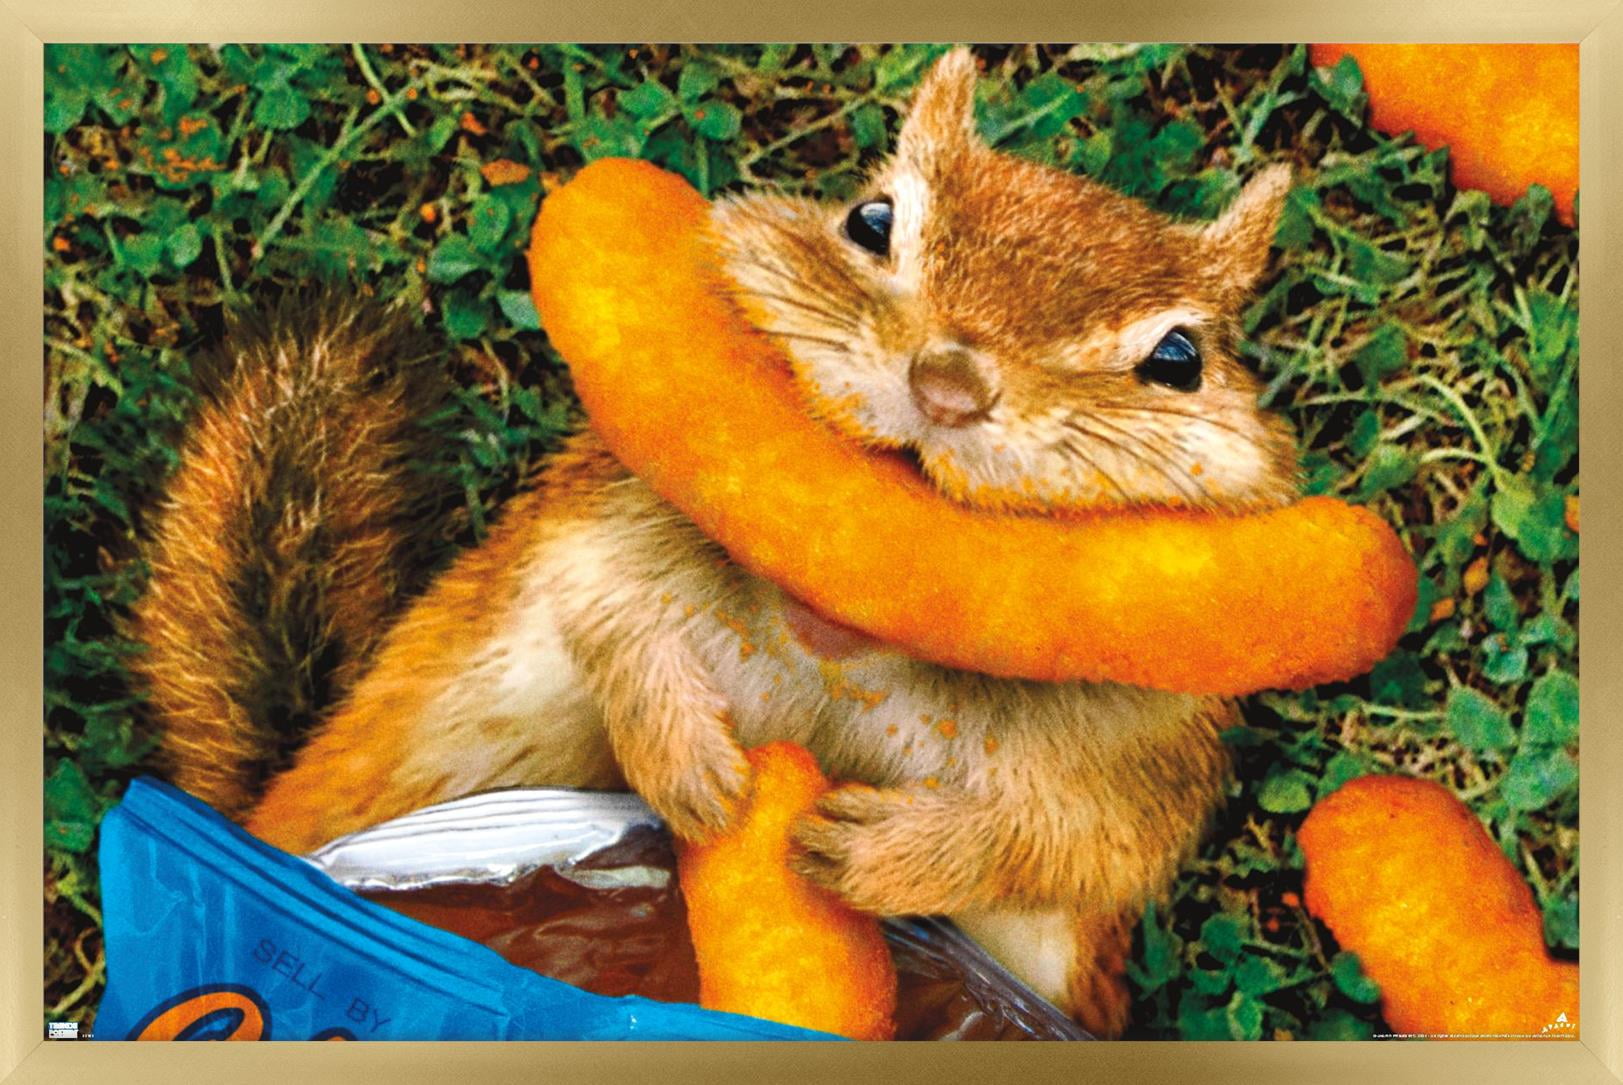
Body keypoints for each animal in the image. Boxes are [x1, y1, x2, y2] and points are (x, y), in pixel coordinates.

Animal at [125, 48, 1298, 1038]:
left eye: (1181, 358)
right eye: (870, 218)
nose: (949, 383)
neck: (835, 643)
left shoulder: (1140, 760)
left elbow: (1075, 845)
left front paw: (878, 852)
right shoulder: (585, 528)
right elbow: (600, 618)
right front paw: (693, 768)